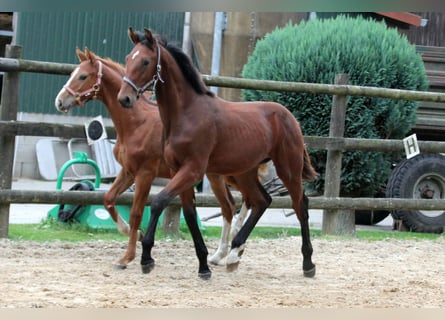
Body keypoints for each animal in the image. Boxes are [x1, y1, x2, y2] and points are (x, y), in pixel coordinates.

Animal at [53, 48, 251, 272]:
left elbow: (136, 213)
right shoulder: (128, 172)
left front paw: (128, 257)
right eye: (72, 73)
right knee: (229, 205)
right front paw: (137, 236)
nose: (60, 101)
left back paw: (234, 249)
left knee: (248, 200)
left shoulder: (145, 174)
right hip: (216, 175)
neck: (137, 123)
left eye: (83, 76)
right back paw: (222, 254)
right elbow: (108, 199)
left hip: (235, 174)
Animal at [118, 28, 318, 278]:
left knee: (300, 205)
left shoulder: (192, 170)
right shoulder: (178, 170)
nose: (124, 98)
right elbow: (189, 214)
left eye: (145, 61)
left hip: (288, 169)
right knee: (262, 201)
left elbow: (159, 201)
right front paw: (203, 265)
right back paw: (233, 255)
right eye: (128, 58)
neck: (186, 114)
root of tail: (289, 116)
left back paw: (308, 264)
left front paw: (147, 258)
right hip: (245, 172)